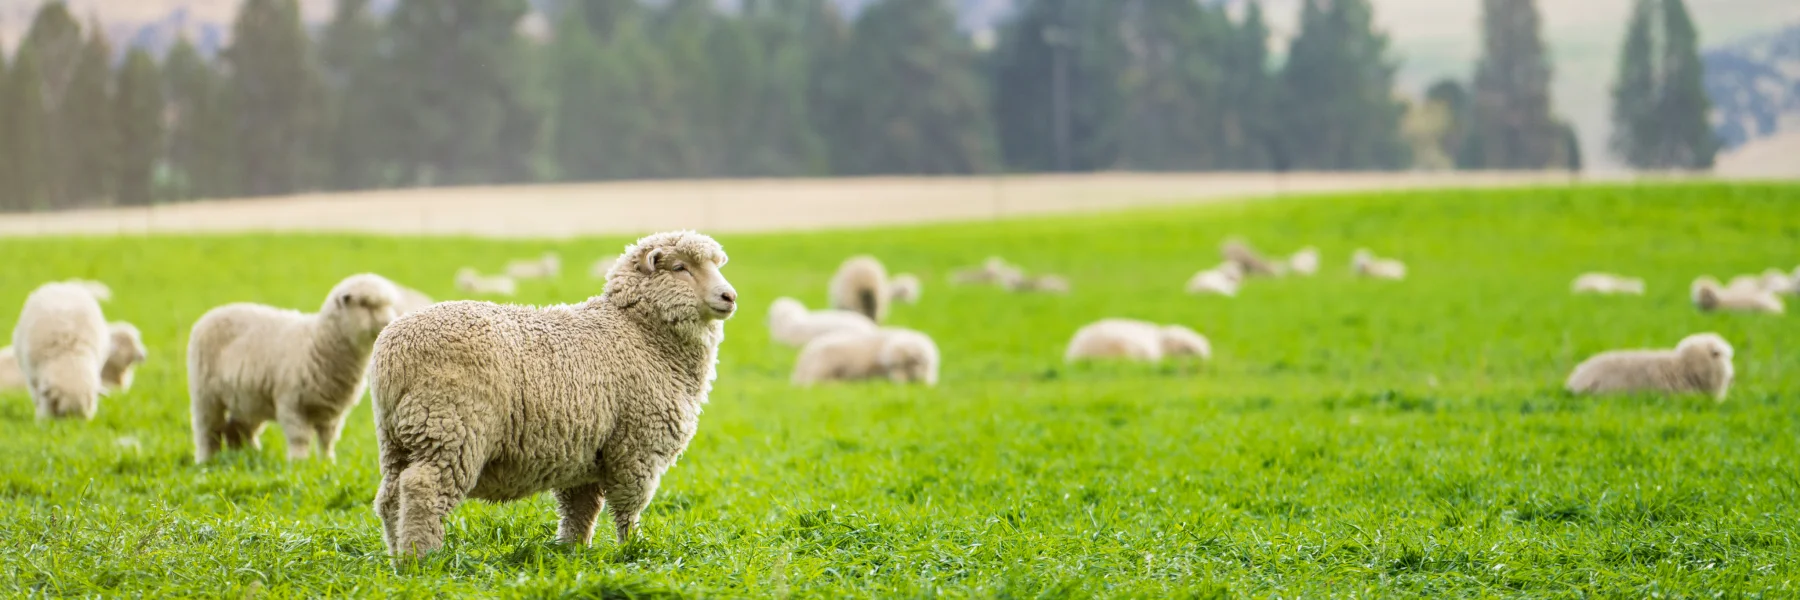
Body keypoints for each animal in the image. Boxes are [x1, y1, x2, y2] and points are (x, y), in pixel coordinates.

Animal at [11, 282, 111, 420]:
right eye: (62, 413)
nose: (72, 423)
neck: (69, 356)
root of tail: (62, 285)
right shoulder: (34, 378)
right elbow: (38, 398)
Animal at [187, 273, 403, 463]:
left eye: (389, 304)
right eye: (365, 304)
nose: (389, 322)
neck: (318, 342)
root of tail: (211, 313)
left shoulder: (331, 410)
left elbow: (327, 440)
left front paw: (328, 462)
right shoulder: (291, 404)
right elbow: (300, 438)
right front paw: (299, 463)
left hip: (247, 398)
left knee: (238, 429)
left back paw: (249, 456)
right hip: (206, 395)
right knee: (208, 430)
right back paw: (207, 460)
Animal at [366, 231, 738, 558]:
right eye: (680, 268)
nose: (729, 296)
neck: (638, 332)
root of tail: (391, 352)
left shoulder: (586, 457)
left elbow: (580, 513)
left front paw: (574, 553)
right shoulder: (635, 447)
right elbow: (627, 509)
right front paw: (633, 548)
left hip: (399, 436)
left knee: (390, 497)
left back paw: (396, 555)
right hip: (451, 427)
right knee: (422, 489)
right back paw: (422, 558)